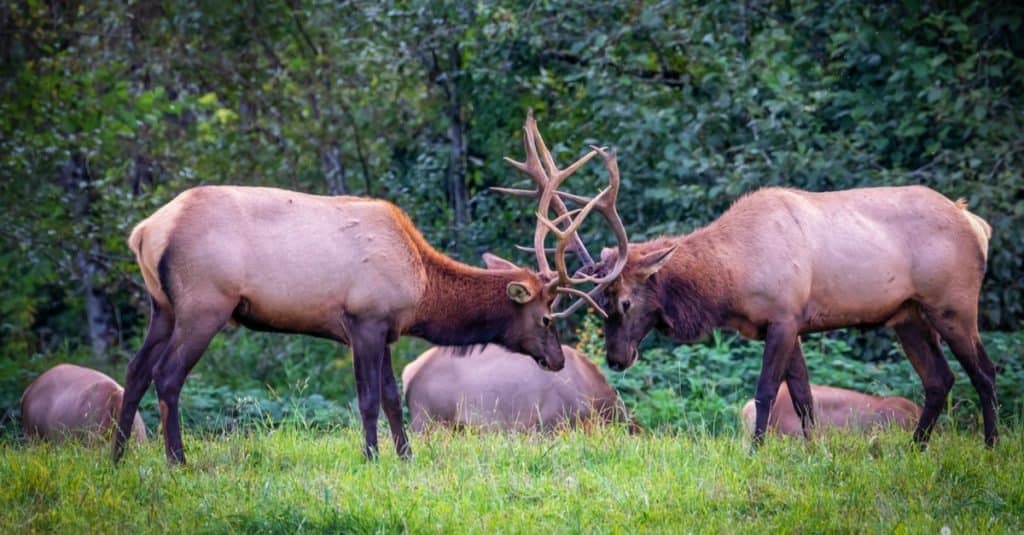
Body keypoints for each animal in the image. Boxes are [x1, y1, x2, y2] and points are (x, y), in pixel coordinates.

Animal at [114, 111, 622, 461]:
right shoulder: (363, 319)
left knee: (135, 371)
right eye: (546, 317)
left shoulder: (388, 328)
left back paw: (117, 457)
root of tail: (145, 232)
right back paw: (176, 459)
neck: (421, 288)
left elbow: (394, 398)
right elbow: (368, 400)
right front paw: (373, 456)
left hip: (163, 306)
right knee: (167, 375)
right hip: (204, 303)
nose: (557, 360)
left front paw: (406, 456)